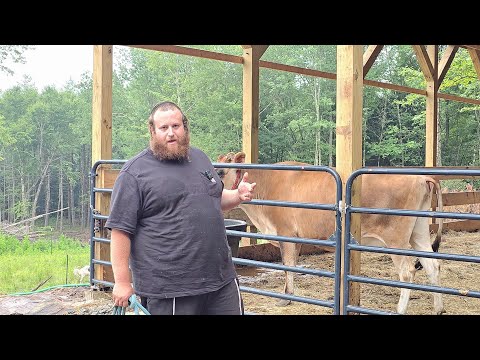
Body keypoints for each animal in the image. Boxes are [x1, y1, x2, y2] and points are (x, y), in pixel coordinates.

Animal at [216, 150, 444, 314]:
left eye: (221, 172)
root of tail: (420, 178)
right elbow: (292, 266)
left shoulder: (285, 233)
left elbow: (287, 265)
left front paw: (286, 298)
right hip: (418, 232)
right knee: (432, 265)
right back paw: (438, 308)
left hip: (396, 238)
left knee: (407, 271)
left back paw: (400, 309)